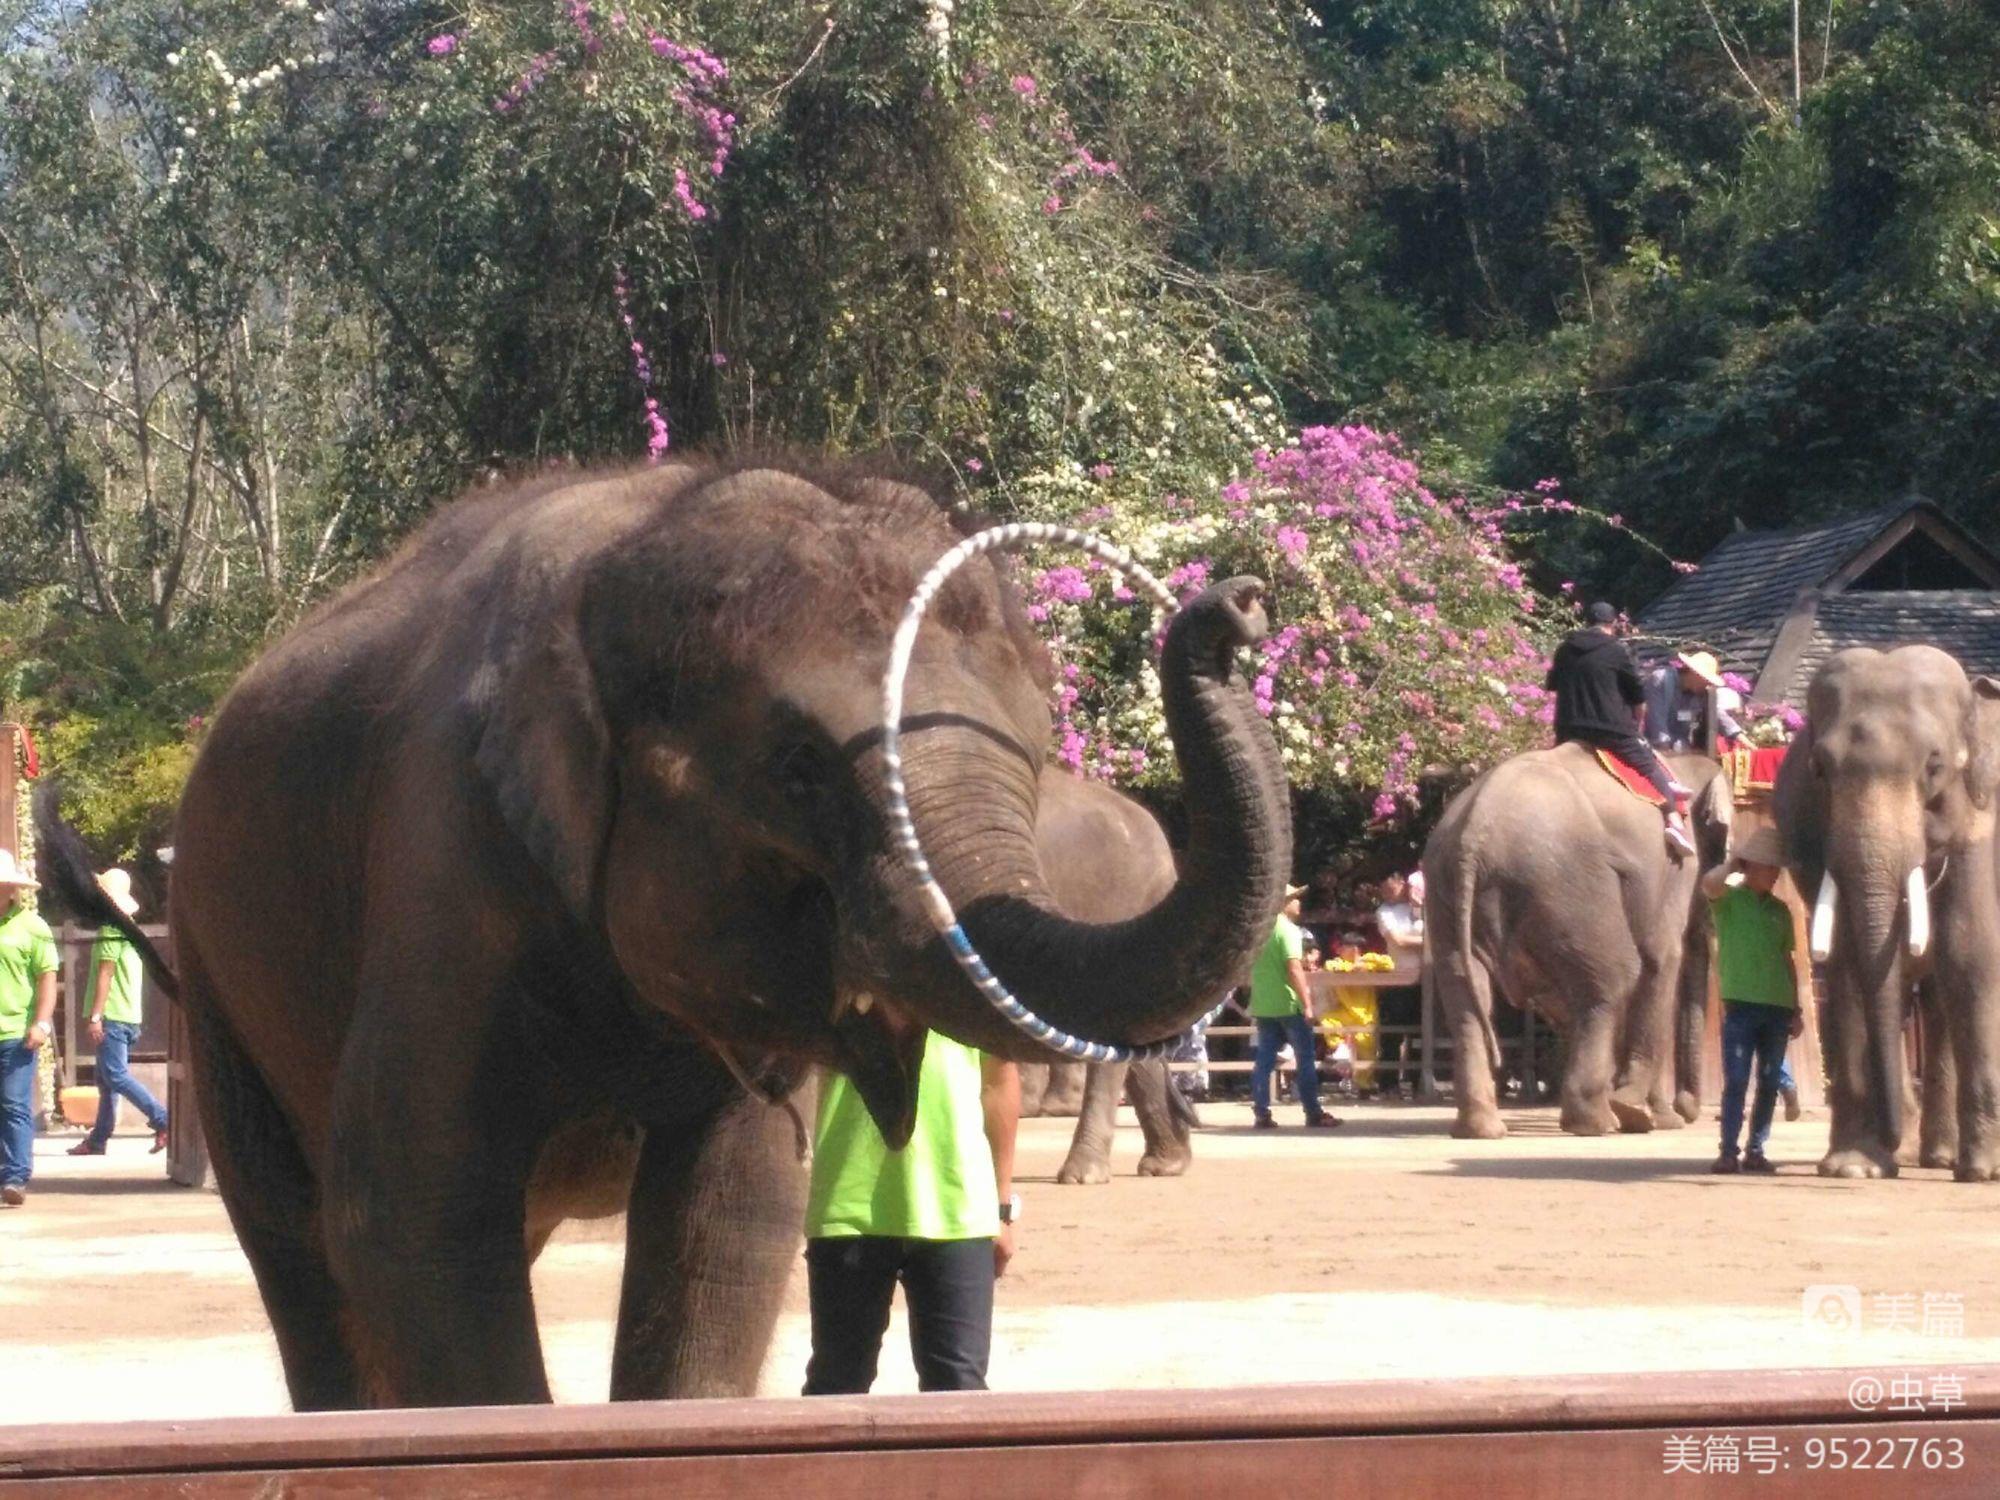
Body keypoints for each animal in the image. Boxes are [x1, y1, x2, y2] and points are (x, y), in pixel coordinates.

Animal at [50, 464, 1296, 1416]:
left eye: (1034, 749)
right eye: (799, 770)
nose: (1232, 604)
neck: (642, 534)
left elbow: (731, 1216)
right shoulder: (440, 860)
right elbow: (410, 1213)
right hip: (220, 968)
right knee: (301, 1240)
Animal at [1424, 748, 1736, 1144]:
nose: (1689, 1109)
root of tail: (1473, 834)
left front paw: (1646, 1113)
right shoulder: (1678, 866)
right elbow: (1661, 959)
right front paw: (1652, 1118)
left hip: (1449, 889)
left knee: (1464, 992)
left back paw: (1482, 1130)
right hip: (1567, 885)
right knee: (1616, 978)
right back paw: (1599, 1123)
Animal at [1776, 648, 1992, 1184]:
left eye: (1935, 765)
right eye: (1819, 768)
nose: (1893, 1143)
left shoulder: (1981, 820)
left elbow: (1970, 953)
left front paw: (1982, 1173)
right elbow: (1853, 965)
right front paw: (1856, 1168)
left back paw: (1939, 1159)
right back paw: (1927, 1156)